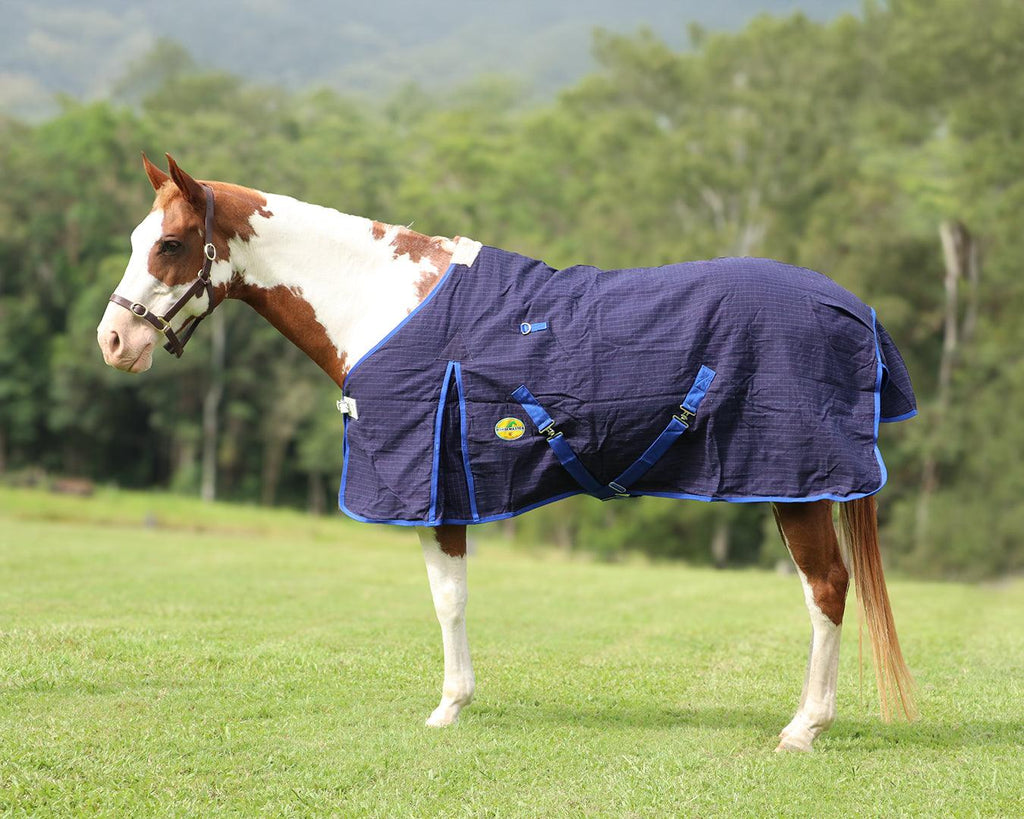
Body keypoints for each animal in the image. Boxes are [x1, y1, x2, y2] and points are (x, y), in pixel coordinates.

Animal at [97, 154, 918, 752]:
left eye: (170, 244)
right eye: (137, 240)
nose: (113, 340)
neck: (384, 302)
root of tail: (851, 305)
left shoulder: (432, 489)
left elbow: (447, 598)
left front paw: (448, 708)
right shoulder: (446, 487)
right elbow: (453, 596)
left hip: (796, 484)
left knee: (826, 589)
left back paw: (802, 729)